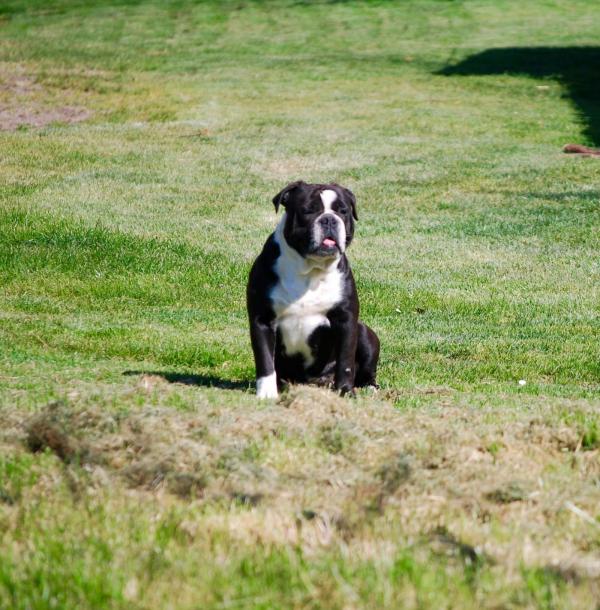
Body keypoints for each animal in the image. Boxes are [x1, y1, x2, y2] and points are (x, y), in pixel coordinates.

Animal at [247, 179, 380, 400]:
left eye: (343, 211)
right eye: (308, 210)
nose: (329, 219)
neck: (311, 270)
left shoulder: (346, 321)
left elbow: (346, 362)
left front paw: (345, 391)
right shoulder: (262, 320)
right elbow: (265, 360)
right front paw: (267, 394)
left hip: (365, 333)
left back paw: (369, 386)